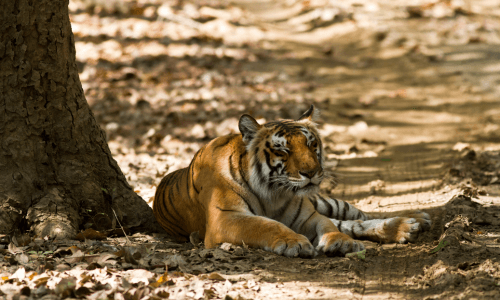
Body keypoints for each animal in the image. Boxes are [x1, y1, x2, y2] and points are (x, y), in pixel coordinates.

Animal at [152, 104, 430, 256]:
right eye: (283, 151)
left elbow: (329, 225)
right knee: (350, 221)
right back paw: (410, 225)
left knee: (357, 216)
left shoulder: (308, 216)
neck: (273, 193)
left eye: (311, 144)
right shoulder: (225, 218)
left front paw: (341, 243)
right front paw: (293, 241)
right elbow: (265, 225)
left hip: (324, 202)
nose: (312, 172)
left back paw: (413, 220)